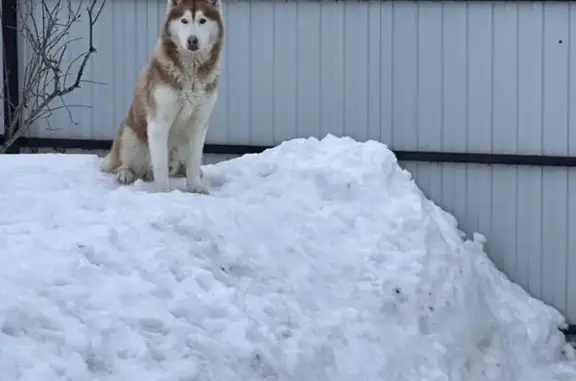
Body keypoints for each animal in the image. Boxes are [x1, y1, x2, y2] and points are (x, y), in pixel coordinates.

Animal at [99, 0, 225, 193]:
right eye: (184, 20)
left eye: (202, 20)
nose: (192, 41)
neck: (191, 72)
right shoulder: (159, 121)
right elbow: (160, 163)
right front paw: (163, 192)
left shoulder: (199, 122)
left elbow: (194, 161)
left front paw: (195, 186)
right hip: (130, 136)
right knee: (124, 165)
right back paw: (127, 174)